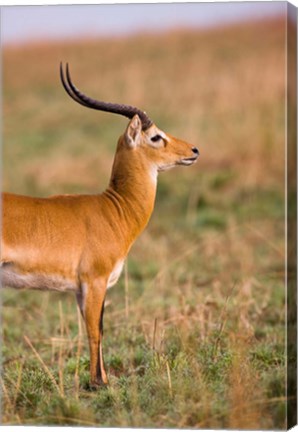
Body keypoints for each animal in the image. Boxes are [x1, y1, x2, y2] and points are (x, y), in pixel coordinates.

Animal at [1, 63, 200, 388]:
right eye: (156, 137)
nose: (194, 150)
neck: (113, 209)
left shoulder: (84, 288)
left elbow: (97, 328)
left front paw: (101, 379)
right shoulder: (94, 281)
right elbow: (96, 331)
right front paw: (99, 384)